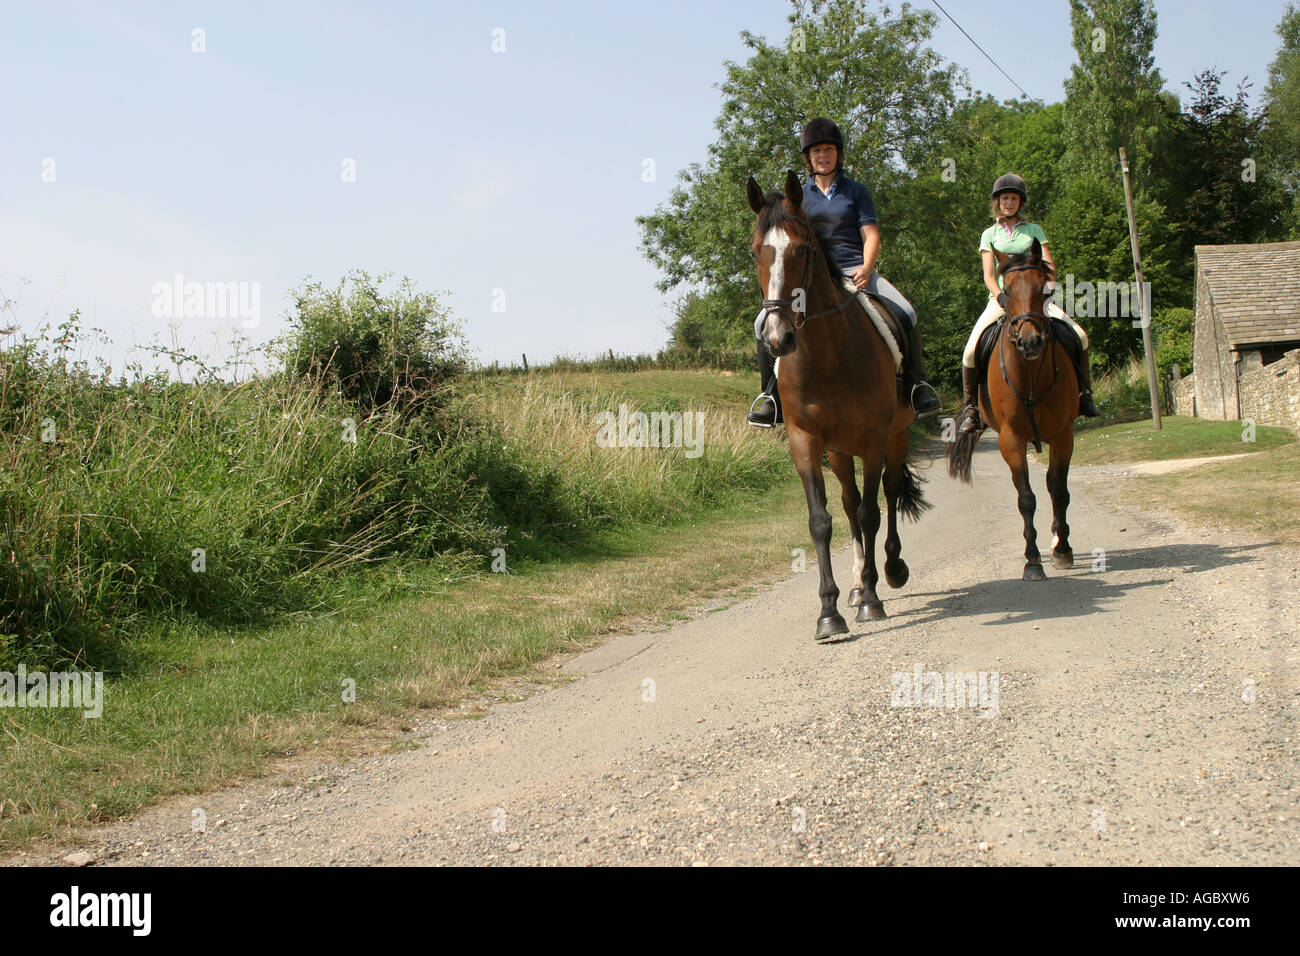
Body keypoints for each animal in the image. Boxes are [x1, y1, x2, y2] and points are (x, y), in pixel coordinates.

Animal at [748, 170, 930, 642]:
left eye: (802, 249)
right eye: (756, 251)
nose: (777, 339)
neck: (826, 353)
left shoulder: (873, 439)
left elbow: (871, 514)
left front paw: (872, 602)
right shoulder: (806, 442)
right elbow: (822, 520)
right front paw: (829, 613)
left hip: (895, 437)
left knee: (888, 493)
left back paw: (890, 571)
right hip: (839, 451)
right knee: (848, 502)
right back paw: (855, 585)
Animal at [951, 239, 1081, 582]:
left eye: (1043, 287)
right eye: (1006, 290)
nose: (1030, 341)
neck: (1031, 375)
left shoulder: (1063, 436)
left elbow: (1059, 491)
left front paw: (1063, 550)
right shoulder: (1011, 440)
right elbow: (1026, 499)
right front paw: (1032, 562)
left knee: (1051, 484)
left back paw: (1058, 540)